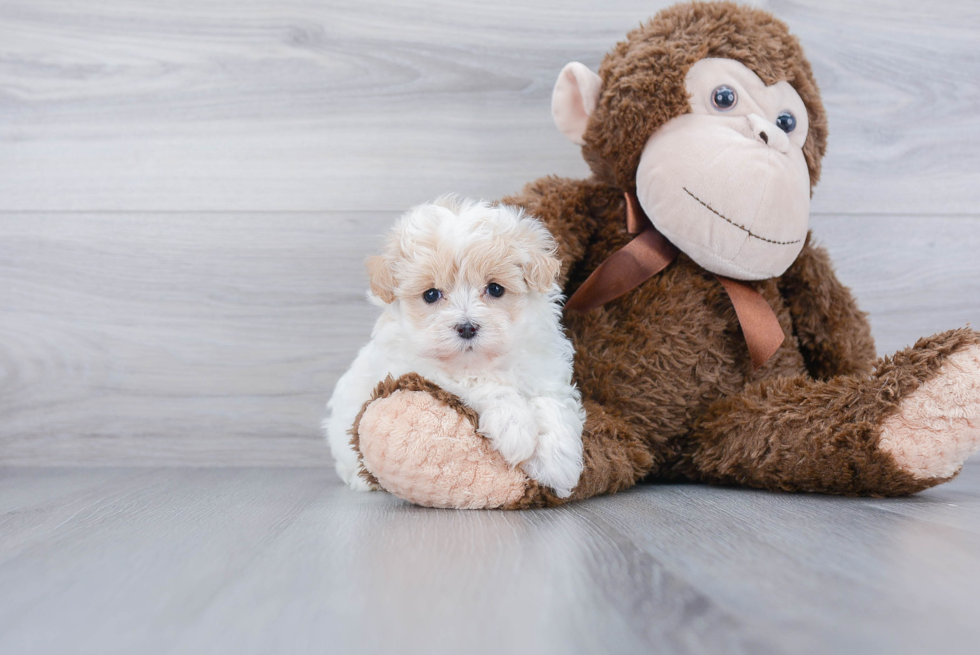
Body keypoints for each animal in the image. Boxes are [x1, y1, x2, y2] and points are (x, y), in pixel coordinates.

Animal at [322, 197, 584, 500]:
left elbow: (551, 403)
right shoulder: (418, 367)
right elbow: (485, 384)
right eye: (431, 294)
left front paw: (559, 465)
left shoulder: (544, 368)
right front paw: (514, 428)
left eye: (495, 289)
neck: (486, 360)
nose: (467, 327)